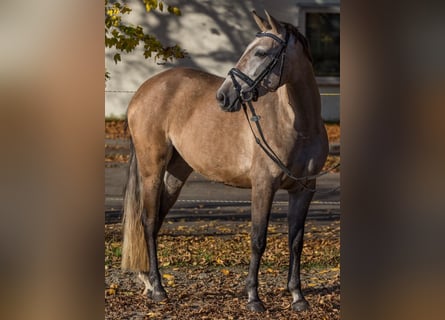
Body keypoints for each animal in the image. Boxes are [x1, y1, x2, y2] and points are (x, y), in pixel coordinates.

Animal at [119, 10, 328, 312]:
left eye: (261, 52)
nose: (223, 96)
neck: (299, 125)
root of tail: (143, 90)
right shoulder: (263, 186)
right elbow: (258, 239)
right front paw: (253, 298)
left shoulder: (305, 189)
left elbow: (296, 241)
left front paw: (298, 297)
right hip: (152, 171)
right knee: (147, 222)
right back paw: (158, 289)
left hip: (176, 173)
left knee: (156, 221)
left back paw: (148, 281)